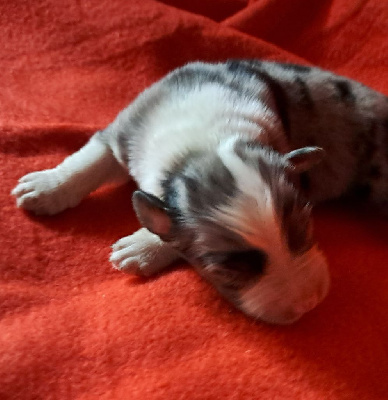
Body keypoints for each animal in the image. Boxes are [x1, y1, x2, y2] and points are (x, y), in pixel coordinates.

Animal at [11, 60, 388, 324]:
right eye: (229, 269)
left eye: (305, 229)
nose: (308, 304)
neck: (204, 145)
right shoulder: (126, 130)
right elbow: (88, 161)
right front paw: (45, 187)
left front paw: (140, 248)